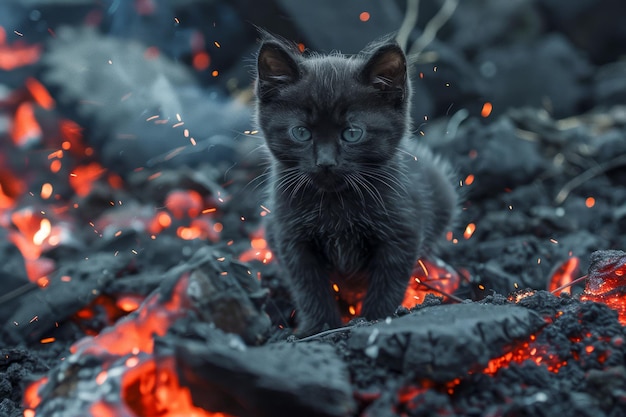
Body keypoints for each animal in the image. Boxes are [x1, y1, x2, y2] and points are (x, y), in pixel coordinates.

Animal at [254, 32, 458, 334]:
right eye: (301, 133)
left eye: (352, 133)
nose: (326, 162)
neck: (336, 205)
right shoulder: (290, 237)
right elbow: (308, 286)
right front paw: (320, 326)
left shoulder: (402, 231)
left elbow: (388, 281)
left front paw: (376, 318)